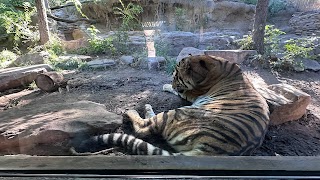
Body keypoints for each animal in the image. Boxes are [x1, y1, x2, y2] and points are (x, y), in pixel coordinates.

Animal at [73, 54, 270, 156]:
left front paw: (166, 86)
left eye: (176, 75)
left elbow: (180, 92)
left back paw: (135, 109)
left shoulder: (191, 95)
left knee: (143, 127)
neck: (216, 65)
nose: (172, 82)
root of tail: (208, 151)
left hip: (179, 113)